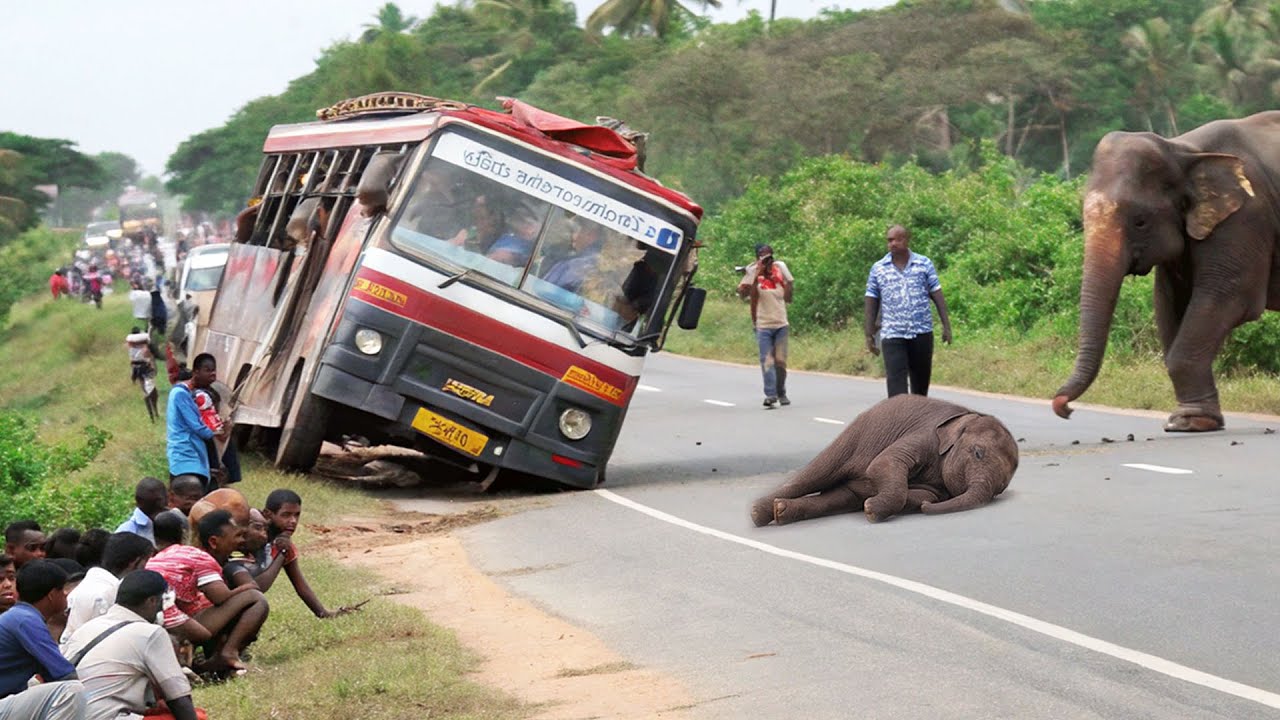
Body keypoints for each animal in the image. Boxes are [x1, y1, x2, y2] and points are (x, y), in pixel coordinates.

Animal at [749, 395, 1018, 526]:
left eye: (1000, 489)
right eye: (978, 453)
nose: (925, 510)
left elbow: (924, 494)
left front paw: (871, 505)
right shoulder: (925, 433)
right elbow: (884, 463)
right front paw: (872, 510)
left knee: (838, 498)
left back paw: (781, 511)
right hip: (854, 437)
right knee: (816, 474)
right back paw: (758, 514)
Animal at [1053, 112, 1280, 432]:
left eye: (1140, 222)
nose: (1065, 408)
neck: (1181, 149)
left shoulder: (1246, 217)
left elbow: (1229, 298)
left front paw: (1191, 422)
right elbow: (1169, 301)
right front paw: (1187, 420)